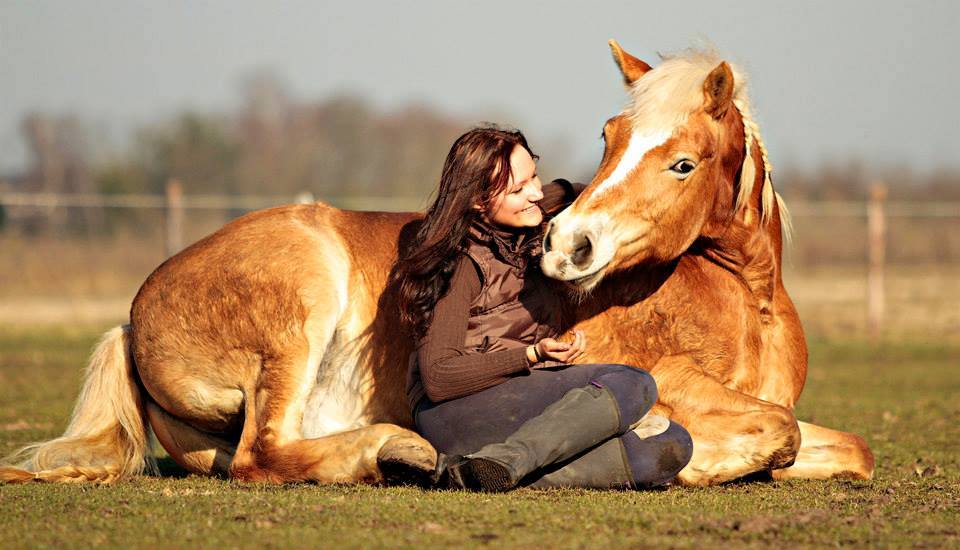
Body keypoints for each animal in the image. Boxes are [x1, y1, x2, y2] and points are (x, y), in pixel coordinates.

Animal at [0, 40, 872, 488]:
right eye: (610, 137)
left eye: (682, 162)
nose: (566, 244)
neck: (744, 302)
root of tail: (134, 316)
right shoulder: (671, 379)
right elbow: (773, 432)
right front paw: (683, 455)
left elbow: (844, 450)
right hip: (299, 306)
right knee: (263, 455)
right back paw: (399, 450)